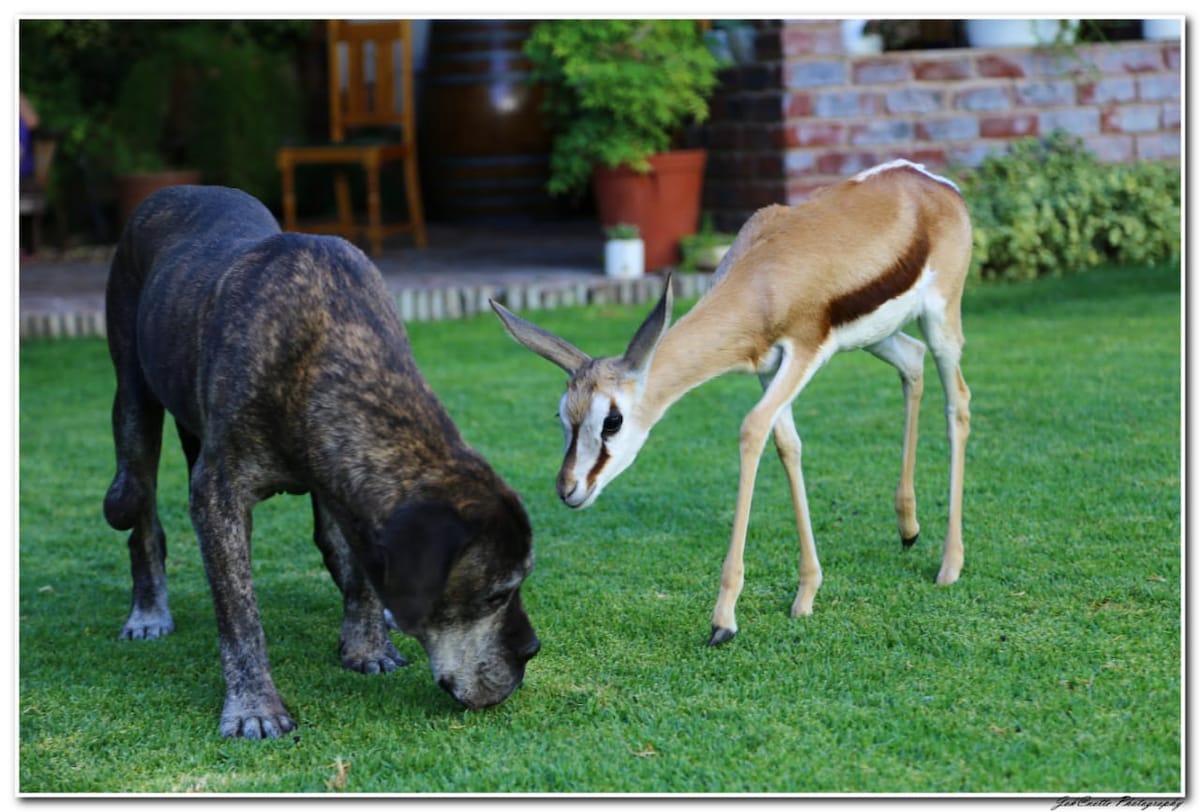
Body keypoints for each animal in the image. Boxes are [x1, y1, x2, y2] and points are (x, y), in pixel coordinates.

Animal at [108, 187, 540, 738]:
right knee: (137, 504)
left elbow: (358, 568)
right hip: (132, 396)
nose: (532, 651)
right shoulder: (218, 494)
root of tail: (168, 192)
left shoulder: (341, 482)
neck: (323, 352)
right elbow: (239, 613)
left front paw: (369, 645)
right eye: (494, 597)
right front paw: (253, 706)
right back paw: (147, 611)